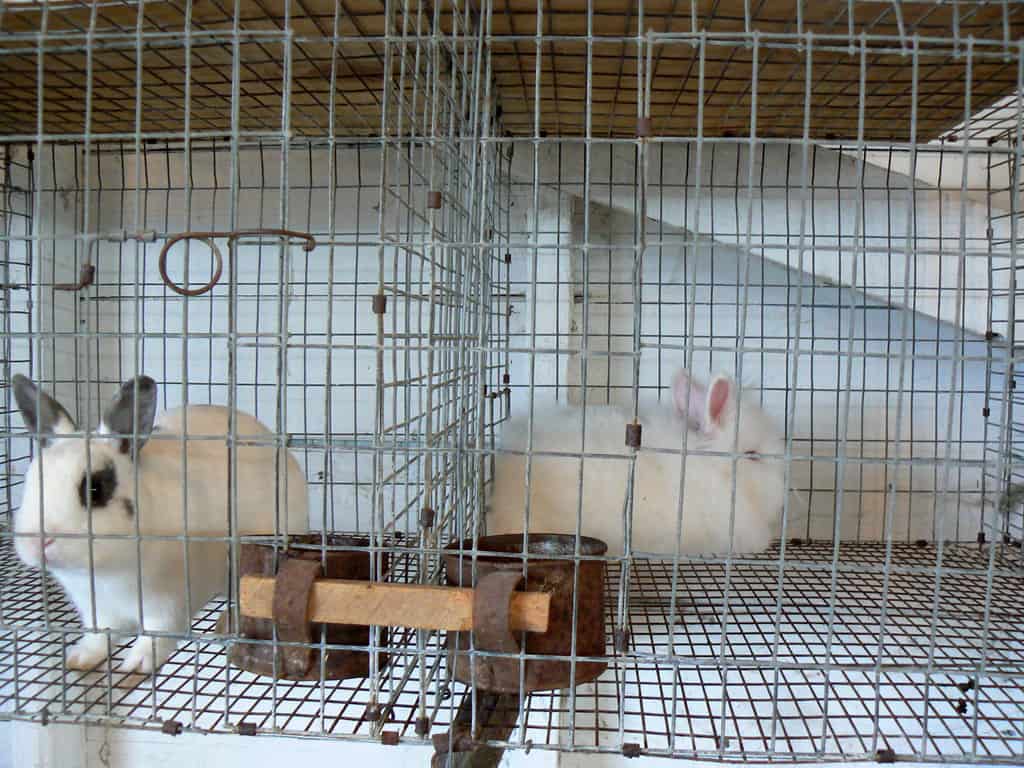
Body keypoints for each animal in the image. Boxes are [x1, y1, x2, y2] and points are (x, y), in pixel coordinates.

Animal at [11, 374, 309, 674]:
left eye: (95, 490)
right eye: (29, 480)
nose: (36, 542)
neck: (104, 573)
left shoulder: (167, 603)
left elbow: (156, 635)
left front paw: (137, 664)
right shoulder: (95, 608)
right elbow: (99, 635)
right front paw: (79, 658)